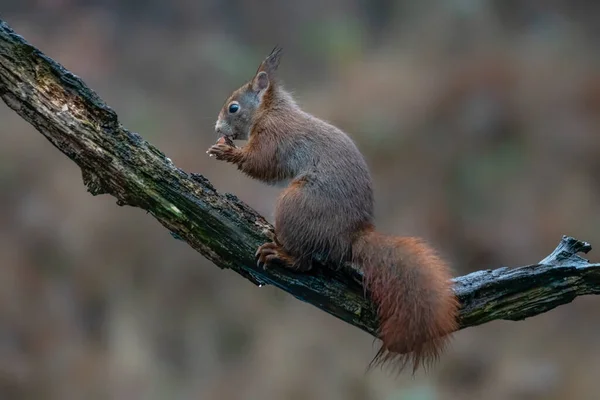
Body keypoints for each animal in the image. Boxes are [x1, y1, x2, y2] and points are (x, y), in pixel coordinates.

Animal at [206, 47, 460, 376]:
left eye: (233, 107)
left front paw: (228, 152)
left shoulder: (275, 137)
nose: (217, 128)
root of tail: (349, 238)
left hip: (296, 205)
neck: (270, 110)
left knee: (304, 262)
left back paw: (282, 252)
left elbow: (262, 163)